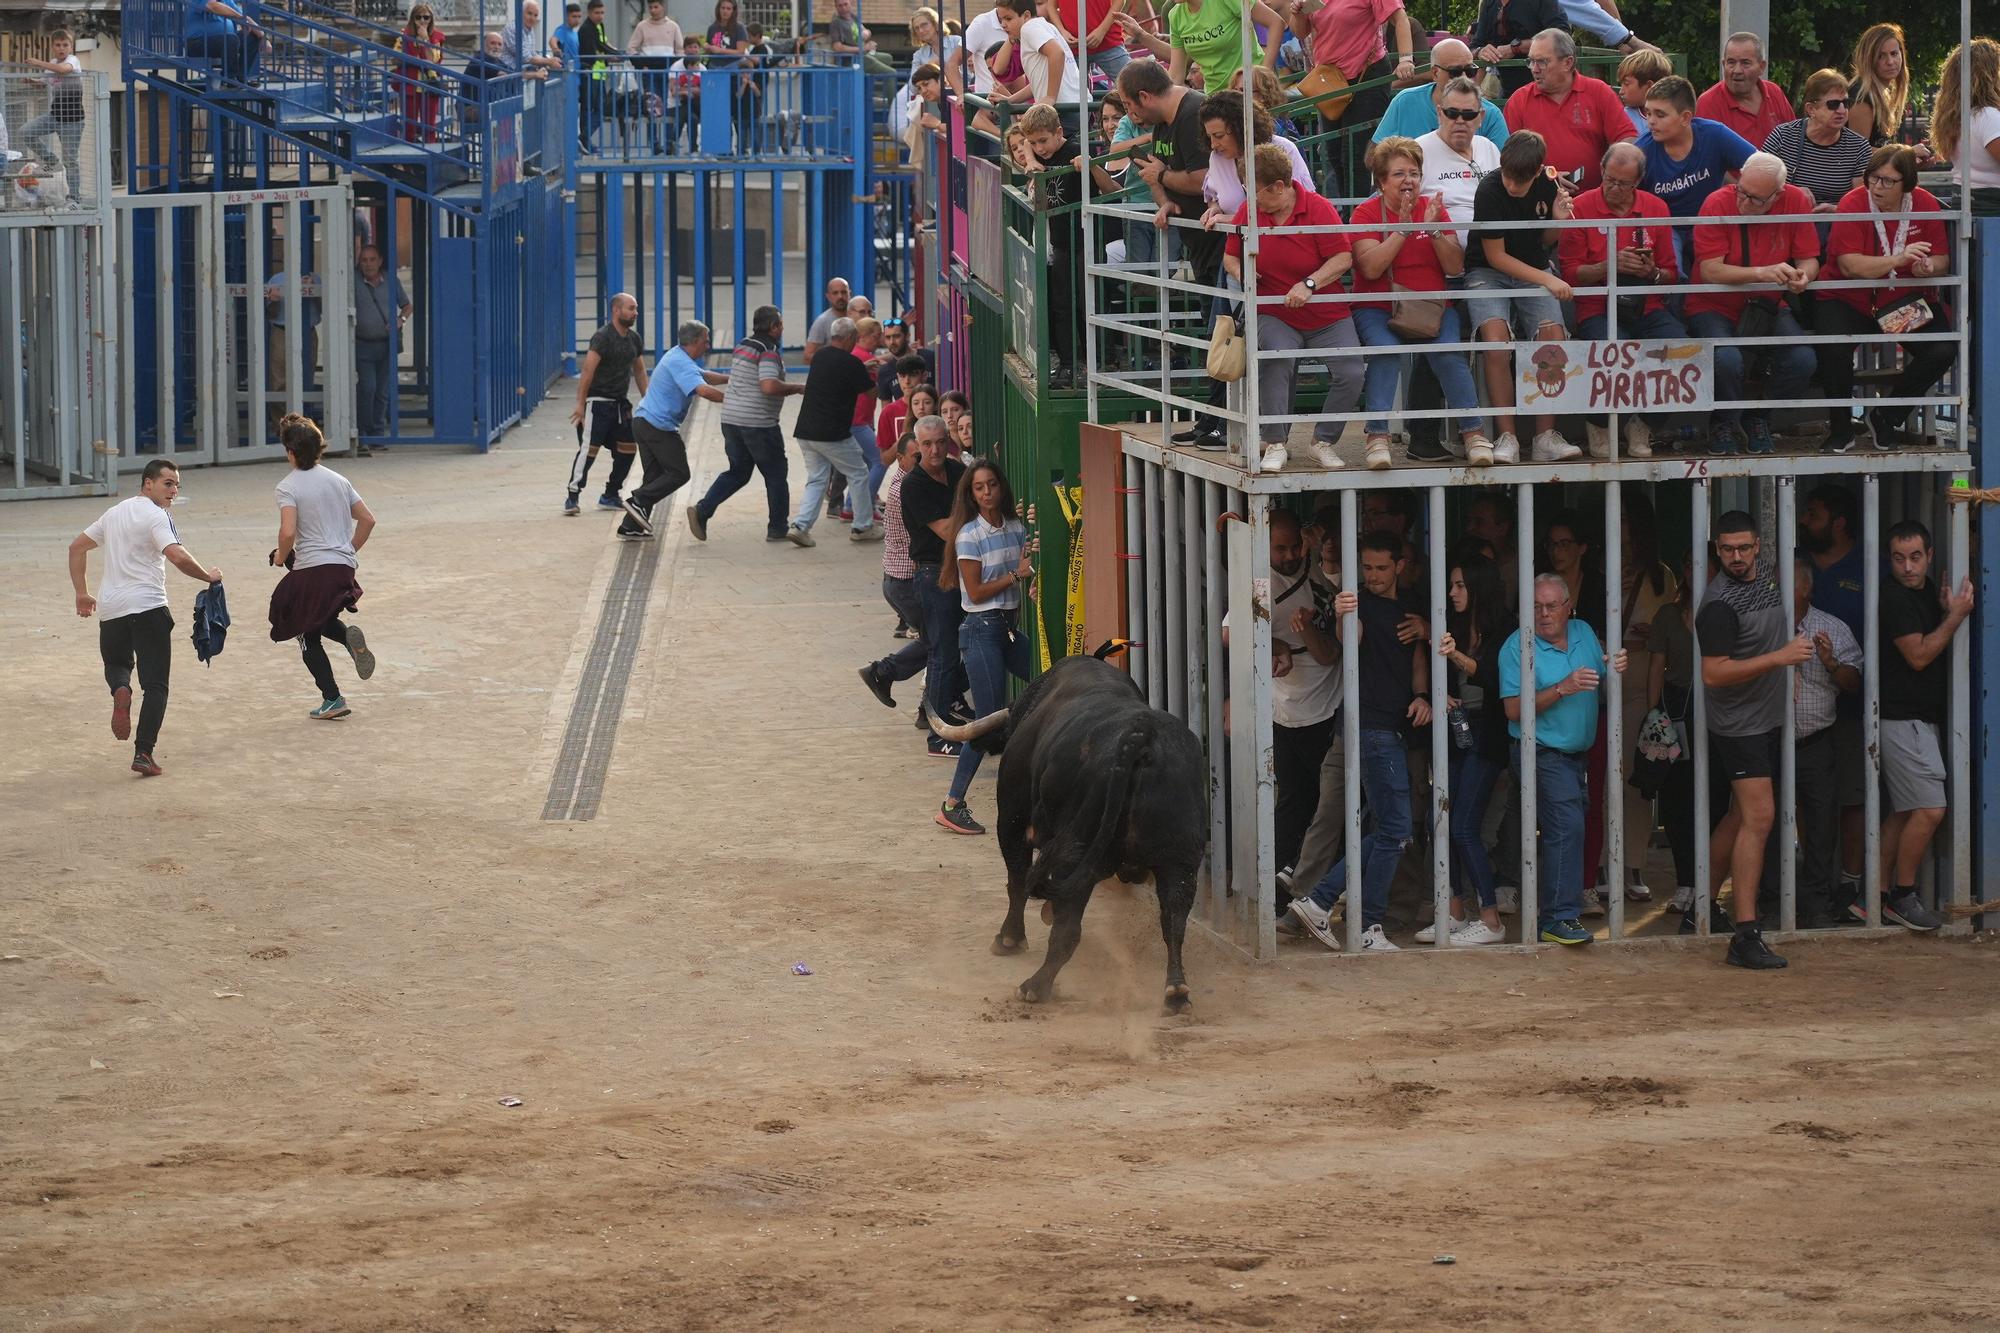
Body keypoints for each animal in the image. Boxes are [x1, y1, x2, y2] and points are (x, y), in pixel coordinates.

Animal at [932, 652, 1208, 1008]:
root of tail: (1140, 737)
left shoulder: (1012, 820)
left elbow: (1017, 880)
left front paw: (1009, 939)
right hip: (1180, 857)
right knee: (1174, 917)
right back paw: (1176, 991)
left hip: (1075, 845)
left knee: (1066, 929)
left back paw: (1035, 986)